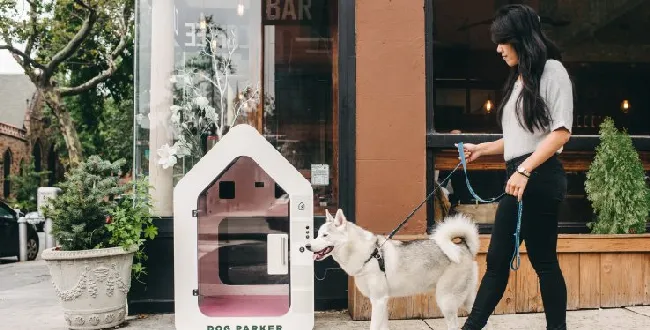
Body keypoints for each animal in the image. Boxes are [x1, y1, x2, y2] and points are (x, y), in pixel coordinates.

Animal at [306, 209, 478, 330]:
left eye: (325, 235)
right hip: (468, 300)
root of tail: (464, 248)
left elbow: (373, 326)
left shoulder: (378, 301)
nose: (307, 246)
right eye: (317, 234)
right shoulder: (382, 302)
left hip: (446, 301)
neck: (369, 254)